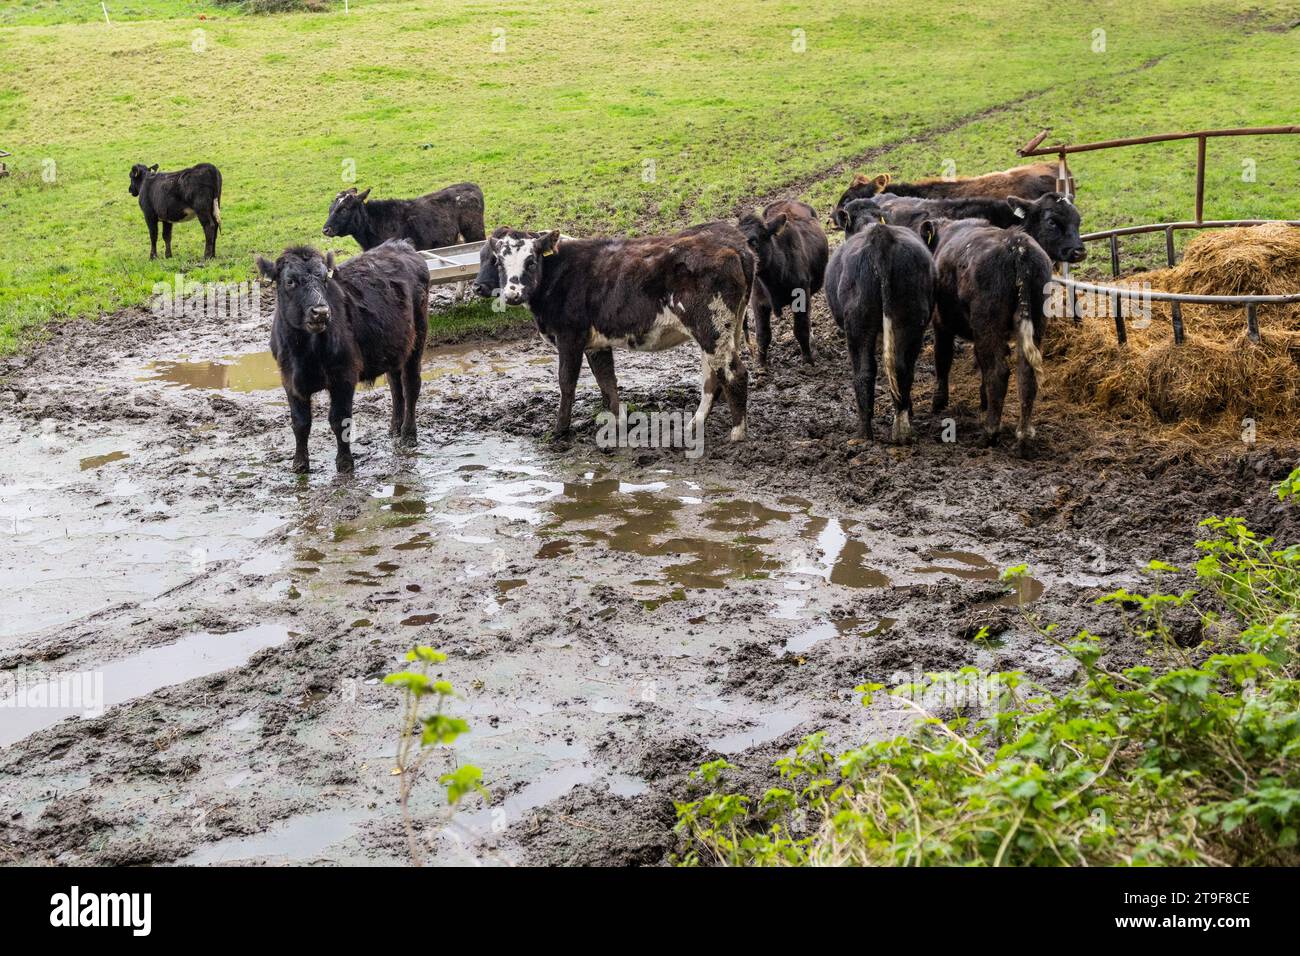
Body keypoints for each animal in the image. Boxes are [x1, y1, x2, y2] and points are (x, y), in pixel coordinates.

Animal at [258, 238, 431, 476]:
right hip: (395, 347)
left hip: (417, 340)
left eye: (324, 278)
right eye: (290, 281)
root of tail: (401, 245)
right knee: (396, 387)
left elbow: (339, 419)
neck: (305, 351)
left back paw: (408, 434)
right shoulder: (290, 380)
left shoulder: (344, 377)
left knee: (411, 385)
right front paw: (299, 464)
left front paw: (345, 462)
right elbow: (300, 423)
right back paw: (394, 428)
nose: (321, 312)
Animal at [470, 223, 754, 444]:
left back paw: (737, 433)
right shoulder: (596, 344)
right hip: (720, 330)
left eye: (530, 262)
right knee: (712, 377)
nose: (512, 294)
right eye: (499, 262)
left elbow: (566, 382)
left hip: (712, 327)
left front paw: (559, 430)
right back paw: (695, 424)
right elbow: (607, 381)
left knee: (734, 373)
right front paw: (618, 424)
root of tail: (734, 244)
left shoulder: (570, 336)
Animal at [826, 201, 941, 444]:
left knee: (864, 372)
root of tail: (881, 237)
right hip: (911, 319)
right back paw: (903, 426)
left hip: (858, 325)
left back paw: (863, 434)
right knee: (902, 367)